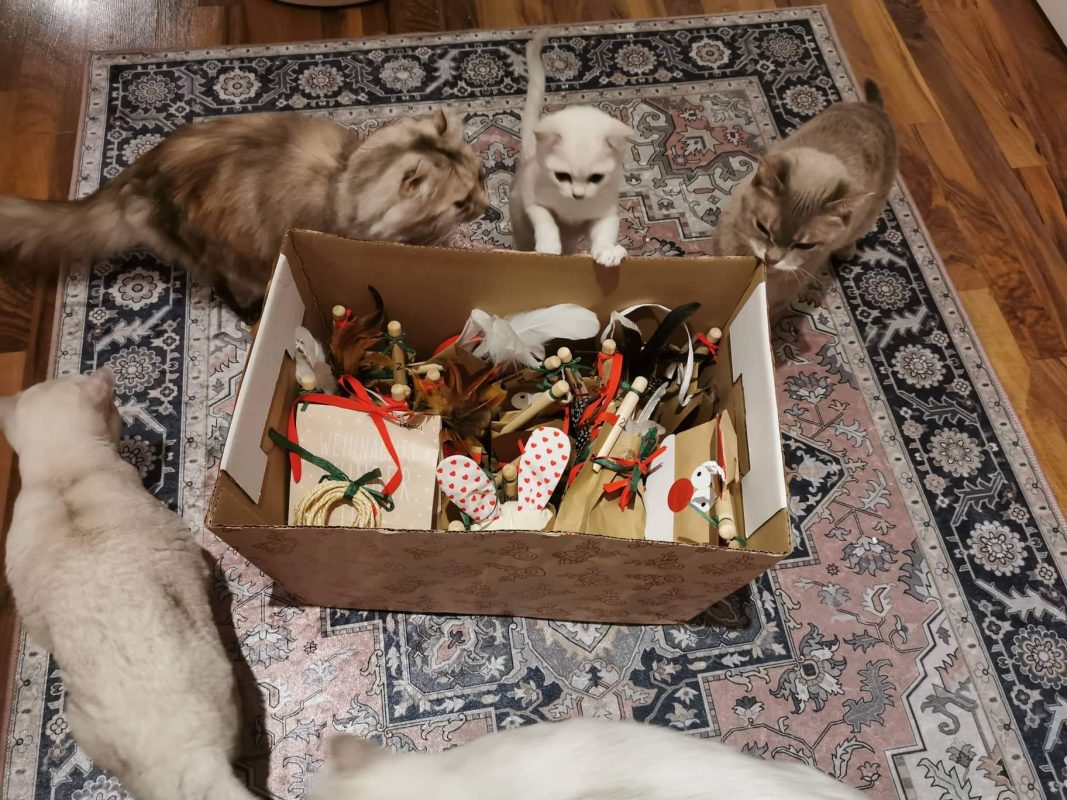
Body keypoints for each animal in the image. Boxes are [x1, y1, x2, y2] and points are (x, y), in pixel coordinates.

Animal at [0, 110, 486, 317]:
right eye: (460, 202)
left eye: (483, 176)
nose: (488, 206)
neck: (344, 177)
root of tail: (134, 179)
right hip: (229, 260)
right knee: (225, 287)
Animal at [510, 32, 635, 267]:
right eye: (561, 176)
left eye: (596, 178)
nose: (578, 195)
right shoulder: (533, 201)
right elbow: (546, 219)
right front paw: (548, 247)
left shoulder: (605, 211)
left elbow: (606, 231)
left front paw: (607, 251)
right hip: (520, 226)